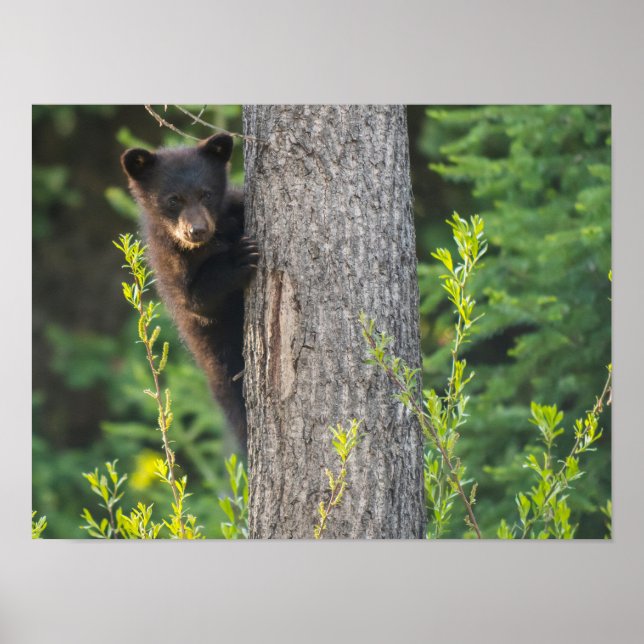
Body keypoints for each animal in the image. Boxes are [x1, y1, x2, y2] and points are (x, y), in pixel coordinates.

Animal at [121, 133, 258, 448]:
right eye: (173, 200)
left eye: (206, 193)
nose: (197, 230)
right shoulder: (169, 263)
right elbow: (198, 300)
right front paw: (240, 256)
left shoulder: (233, 209)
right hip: (219, 362)